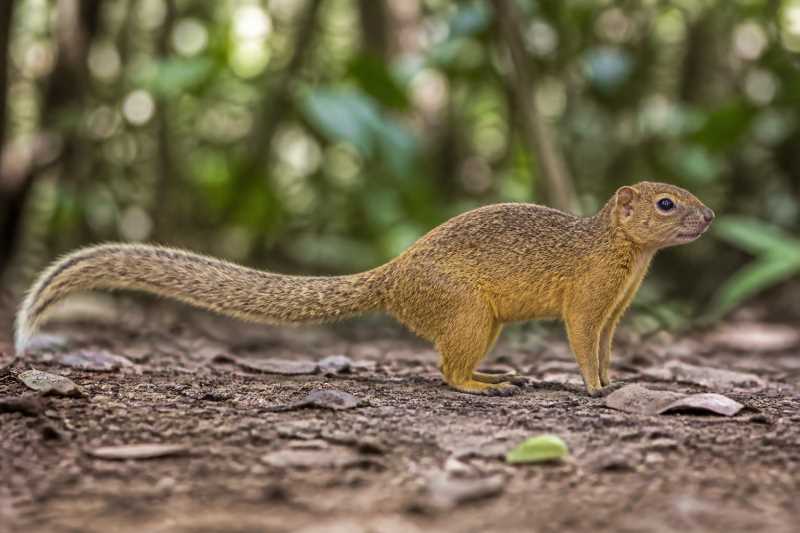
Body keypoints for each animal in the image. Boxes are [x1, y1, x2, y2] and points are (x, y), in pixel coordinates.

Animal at [15, 181, 714, 396]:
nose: (709, 216)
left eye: (684, 196)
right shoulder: (588, 301)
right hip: (469, 314)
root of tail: (393, 274)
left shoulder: (614, 312)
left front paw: (614, 380)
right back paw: (484, 385)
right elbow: (581, 343)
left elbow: (606, 347)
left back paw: (497, 376)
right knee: (445, 371)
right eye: (666, 202)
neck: (622, 256)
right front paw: (594, 389)